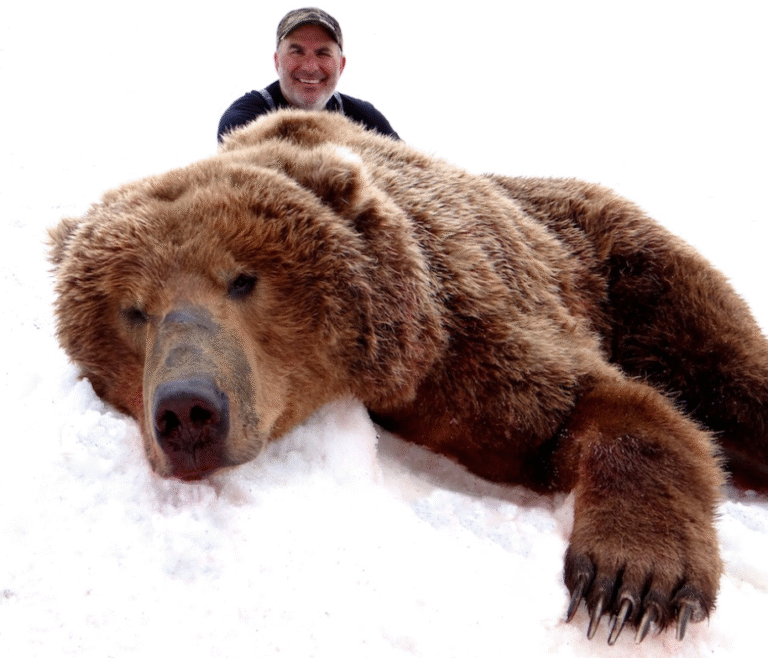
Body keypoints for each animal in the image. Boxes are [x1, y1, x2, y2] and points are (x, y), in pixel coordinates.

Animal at [49, 109, 768, 645]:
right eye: (133, 309)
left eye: (243, 279)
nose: (187, 409)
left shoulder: (470, 339)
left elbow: (597, 406)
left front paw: (631, 585)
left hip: (628, 268)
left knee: (728, 369)